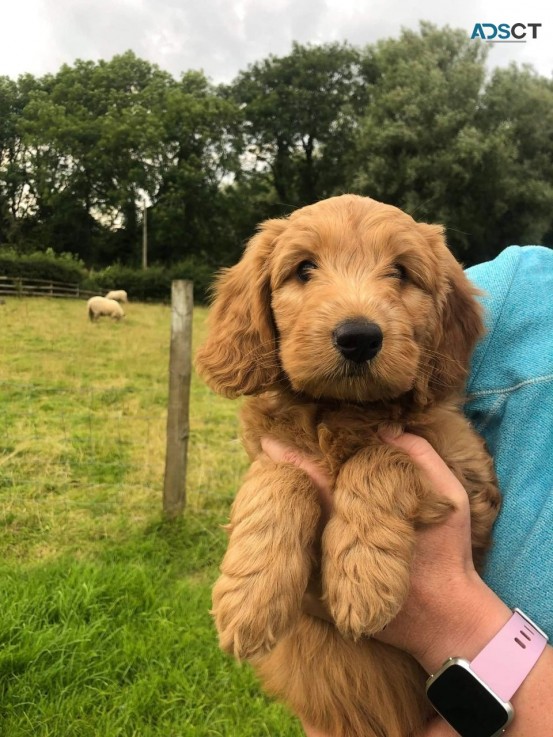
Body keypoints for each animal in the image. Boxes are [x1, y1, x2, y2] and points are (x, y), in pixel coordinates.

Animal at [195, 194, 500, 736]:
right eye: (304, 269)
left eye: (400, 271)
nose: (359, 336)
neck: (341, 410)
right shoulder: (268, 447)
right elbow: (282, 476)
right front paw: (249, 596)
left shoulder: (470, 481)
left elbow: (382, 453)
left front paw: (363, 574)